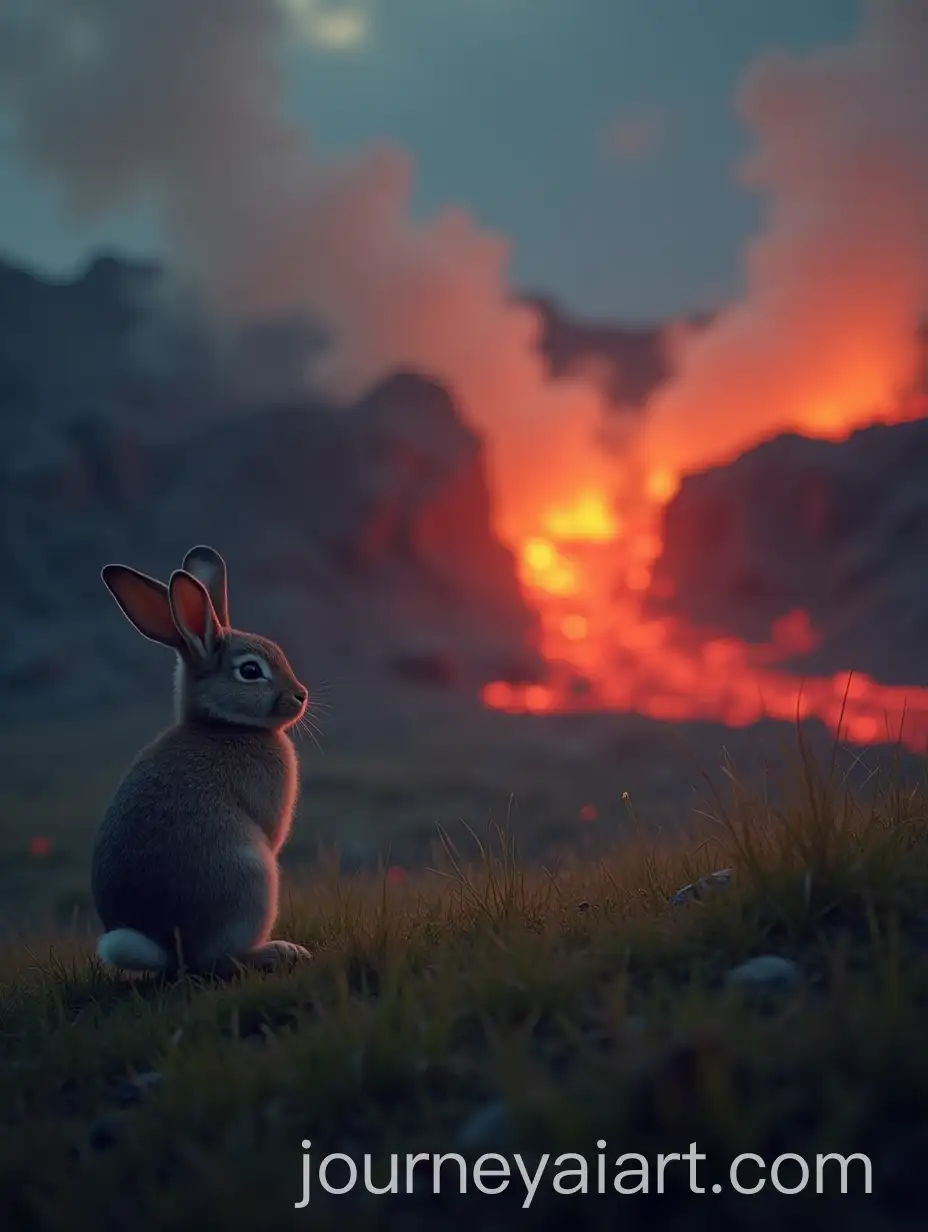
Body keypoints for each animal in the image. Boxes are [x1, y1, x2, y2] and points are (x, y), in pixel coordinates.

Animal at [91, 544, 312, 976]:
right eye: (250, 671)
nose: (301, 695)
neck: (225, 724)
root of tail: (166, 948)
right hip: (253, 877)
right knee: (218, 961)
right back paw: (280, 951)